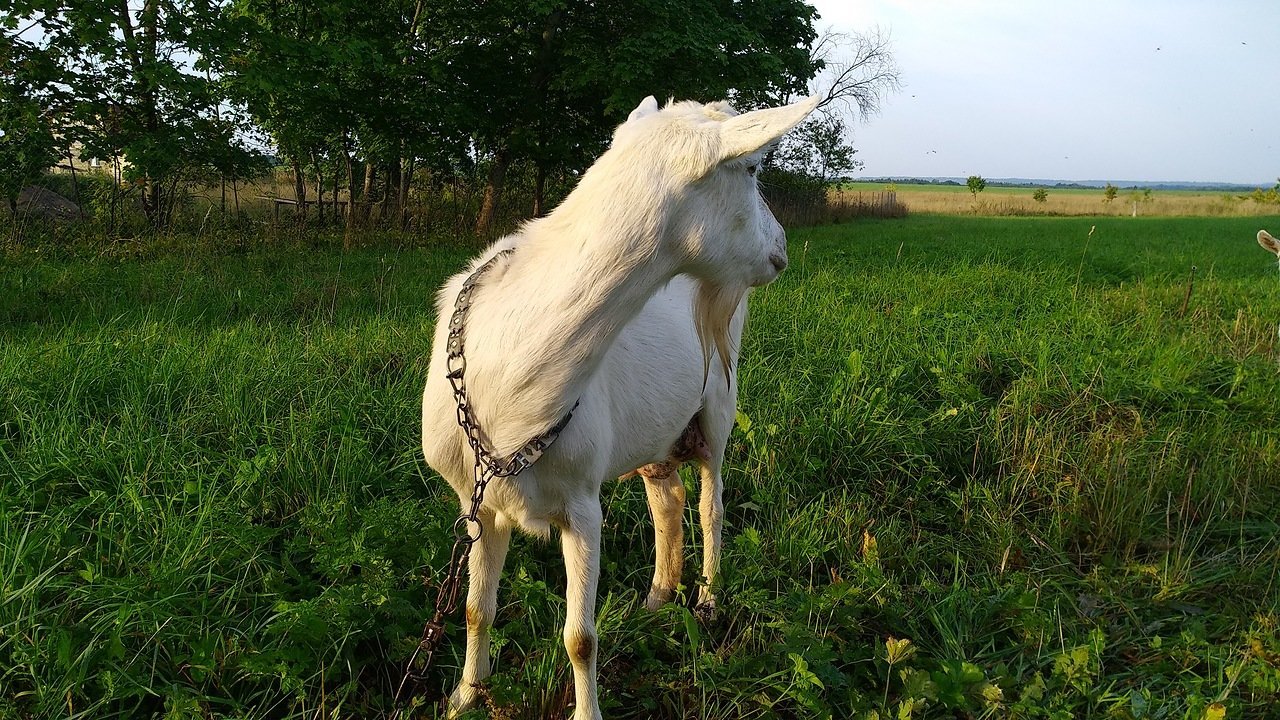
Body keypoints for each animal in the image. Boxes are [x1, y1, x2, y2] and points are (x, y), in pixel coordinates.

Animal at [424, 95, 814, 717]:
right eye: (753, 168)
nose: (780, 246)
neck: (510, 372)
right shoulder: (477, 502)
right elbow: (475, 608)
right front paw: (465, 696)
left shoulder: (582, 503)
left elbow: (579, 638)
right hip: (656, 431)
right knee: (667, 498)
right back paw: (657, 596)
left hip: (719, 402)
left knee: (711, 503)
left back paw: (706, 600)